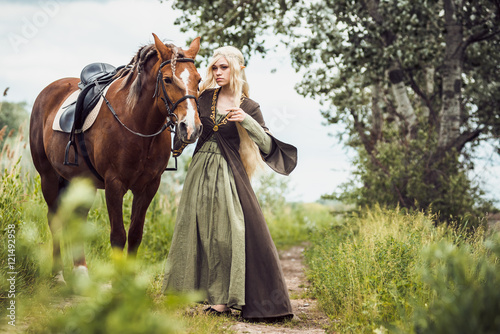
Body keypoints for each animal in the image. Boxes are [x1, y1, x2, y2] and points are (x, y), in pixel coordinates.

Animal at [28, 33, 201, 280]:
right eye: (167, 80)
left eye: (198, 80)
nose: (191, 128)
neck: (137, 122)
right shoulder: (114, 185)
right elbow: (118, 235)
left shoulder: (148, 187)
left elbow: (136, 233)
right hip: (48, 177)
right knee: (56, 221)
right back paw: (58, 274)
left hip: (83, 183)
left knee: (78, 221)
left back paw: (81, 271)